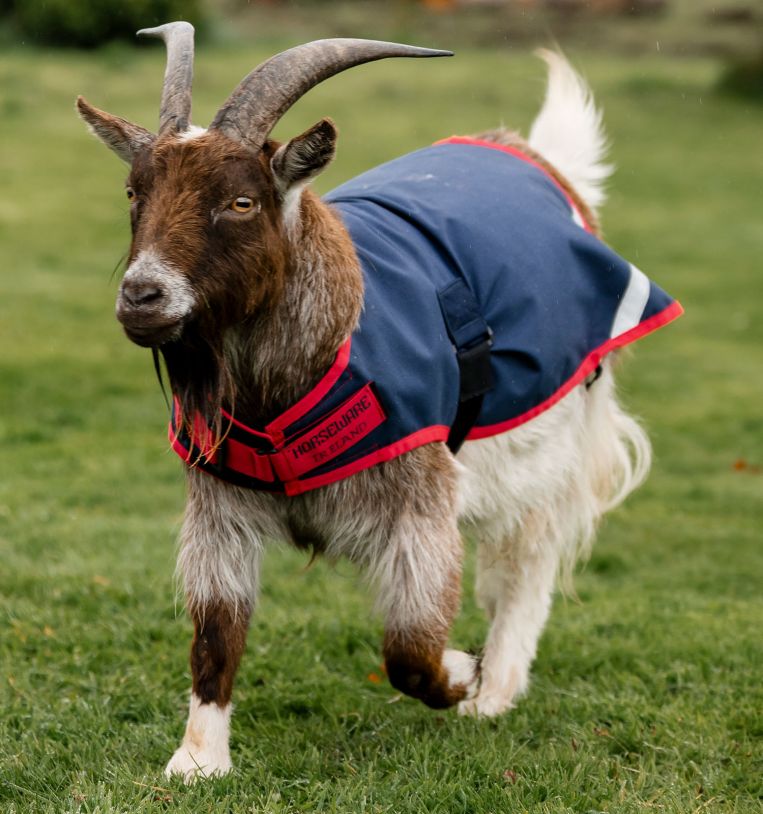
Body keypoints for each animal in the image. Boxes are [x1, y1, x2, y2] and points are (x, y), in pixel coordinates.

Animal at [77, 22, 682, 781]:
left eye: (241, 201)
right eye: (134, 191)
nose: (142, 296)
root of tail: (543, 163)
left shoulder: (419, 496)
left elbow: (410, 646)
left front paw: (463, 674)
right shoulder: (219, 507)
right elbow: (217, 630)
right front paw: (197, 759)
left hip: (551, 434)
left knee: (527, 558)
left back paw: (497, 688)